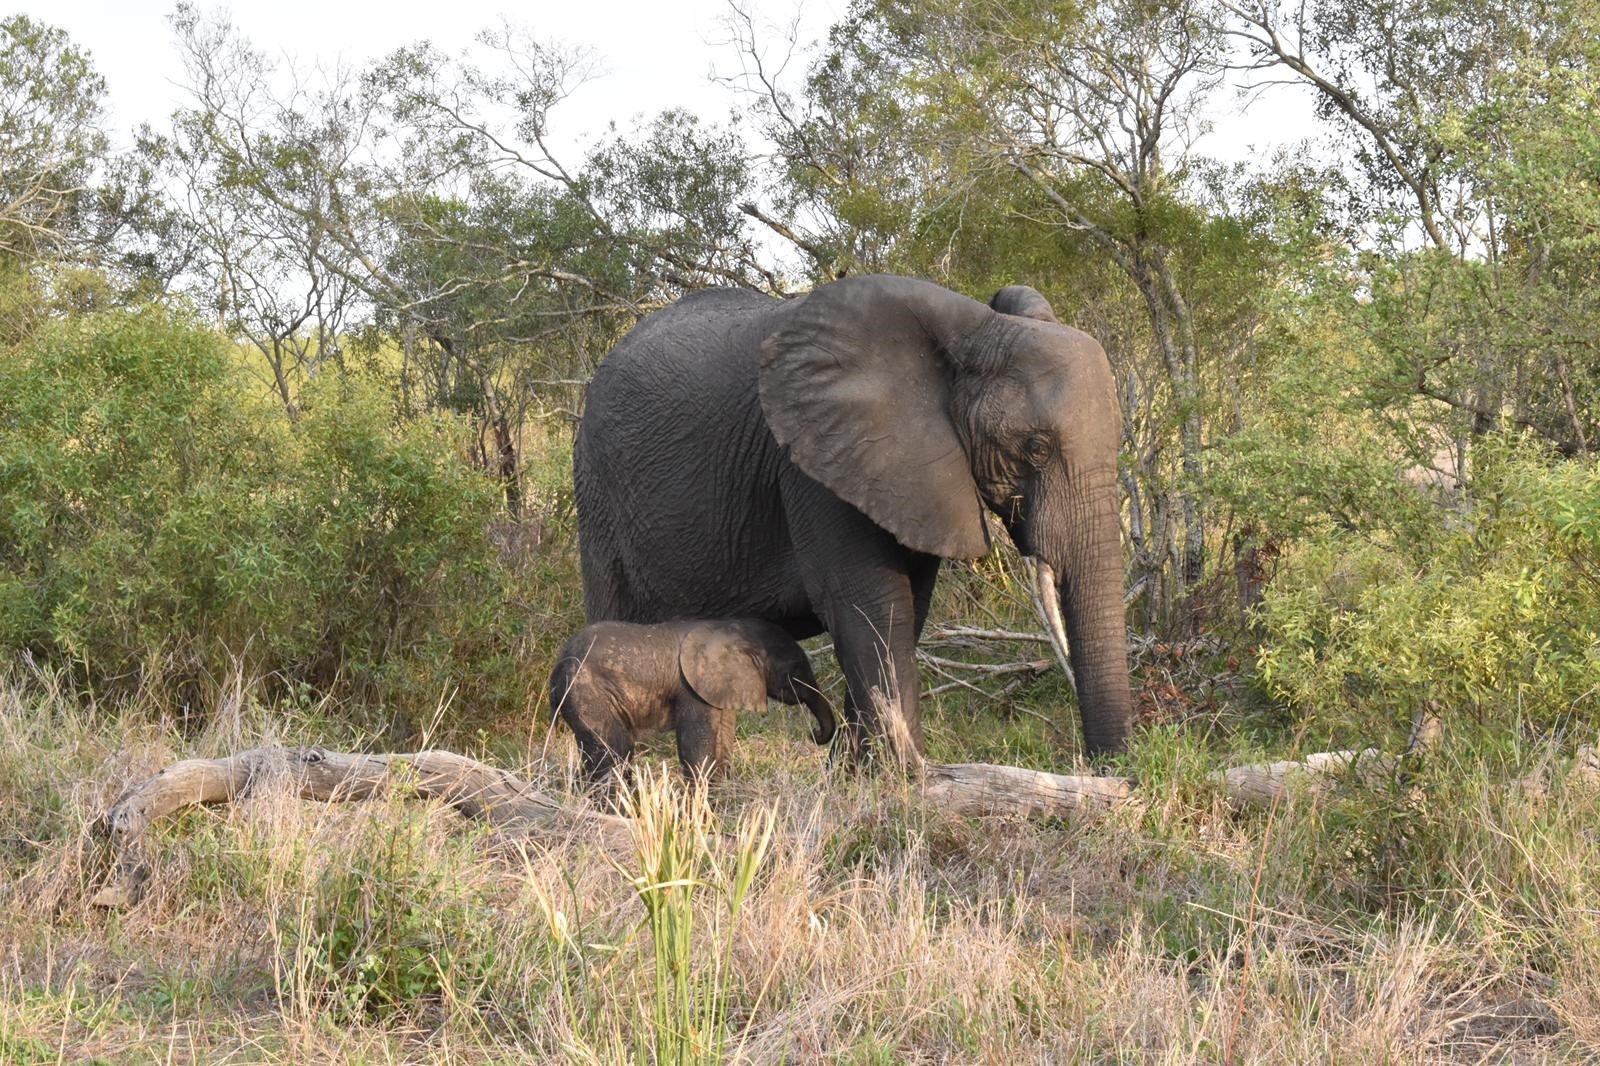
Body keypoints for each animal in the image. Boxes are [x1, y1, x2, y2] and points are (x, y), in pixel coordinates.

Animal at [550, 614, 838, 781]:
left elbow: (722, 739)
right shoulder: (692, 687)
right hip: (590, 694)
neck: (735, 632)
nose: (813, 734)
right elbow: (696, 745)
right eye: (796, 670)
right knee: (614, 753)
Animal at [569, 273, 1132, 755]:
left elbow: (909, 602)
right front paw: (906, 780)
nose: (1108, 770)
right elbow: (871, 605)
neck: (970, 331)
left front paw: (864, 773)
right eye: (1036, 448)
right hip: (597, 484)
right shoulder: (814, 466)